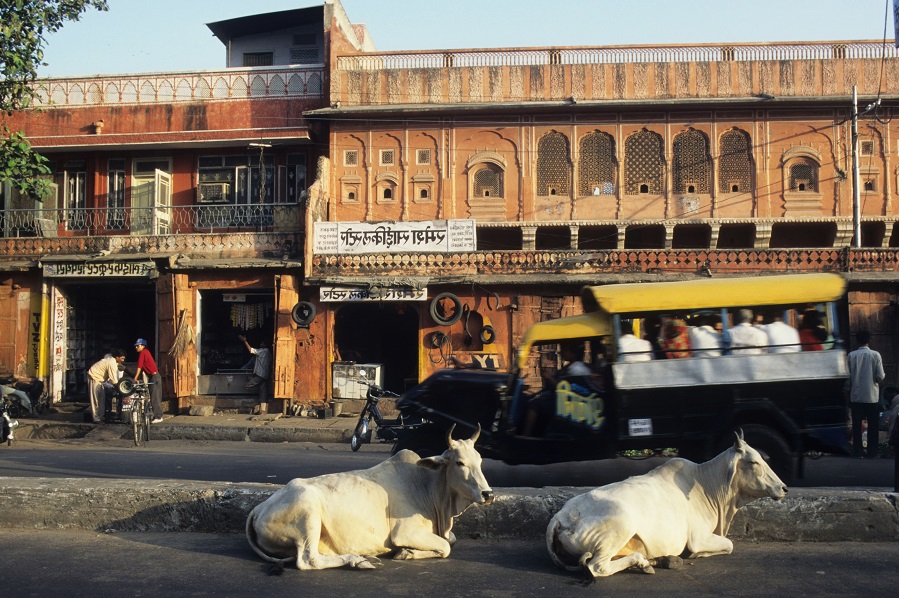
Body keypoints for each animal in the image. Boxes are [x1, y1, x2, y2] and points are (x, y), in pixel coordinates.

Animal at [246, 426, 496, 572]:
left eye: (480, 460)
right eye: (460, 463)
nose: (488, 494)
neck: (428, 487)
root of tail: (259, 508)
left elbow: (450, 540)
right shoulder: (405, 532)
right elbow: (445, 546)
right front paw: (406, 553)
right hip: (308, 515)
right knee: (308, 560)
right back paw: (358, 560)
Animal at [544, 434, 784, 580]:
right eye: (753, 462)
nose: (783, 488)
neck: (707, 486)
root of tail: (560, 516)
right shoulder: (698, 538)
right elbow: (728, 545)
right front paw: (696, 556)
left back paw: (662, 560)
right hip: (621, 525)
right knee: (598, 567)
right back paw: (644, 563)